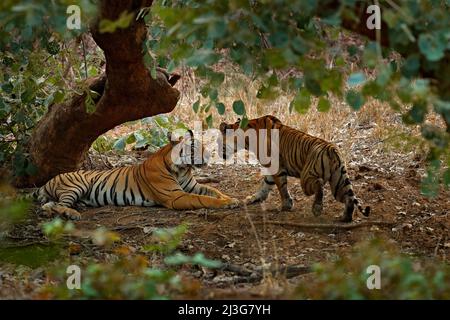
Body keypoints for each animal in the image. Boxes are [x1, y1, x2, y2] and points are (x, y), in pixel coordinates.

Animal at [35, 130, 239, 220]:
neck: (182, 169)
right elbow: (204, 199)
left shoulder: (195, 186)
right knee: (60, 205)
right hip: (76, 185)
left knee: (50, 204)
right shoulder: (176, 196)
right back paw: (73, 214)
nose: (209, 155)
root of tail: (48, 181)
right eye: (193, 147)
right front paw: (226, 203)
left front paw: (232, 199)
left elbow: (214, 191)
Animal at [218, 115, 370, 222]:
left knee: (319, 184)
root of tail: (332, 149)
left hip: (307, 178)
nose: (218, 154)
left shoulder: (276, 166)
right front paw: (254, 198)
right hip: (338, 182)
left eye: (219, 142)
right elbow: (265, 185)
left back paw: (317, 209)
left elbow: (281, 187)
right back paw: (345, 218)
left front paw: (286, 205)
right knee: (349, 199)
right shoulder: (271, 168)